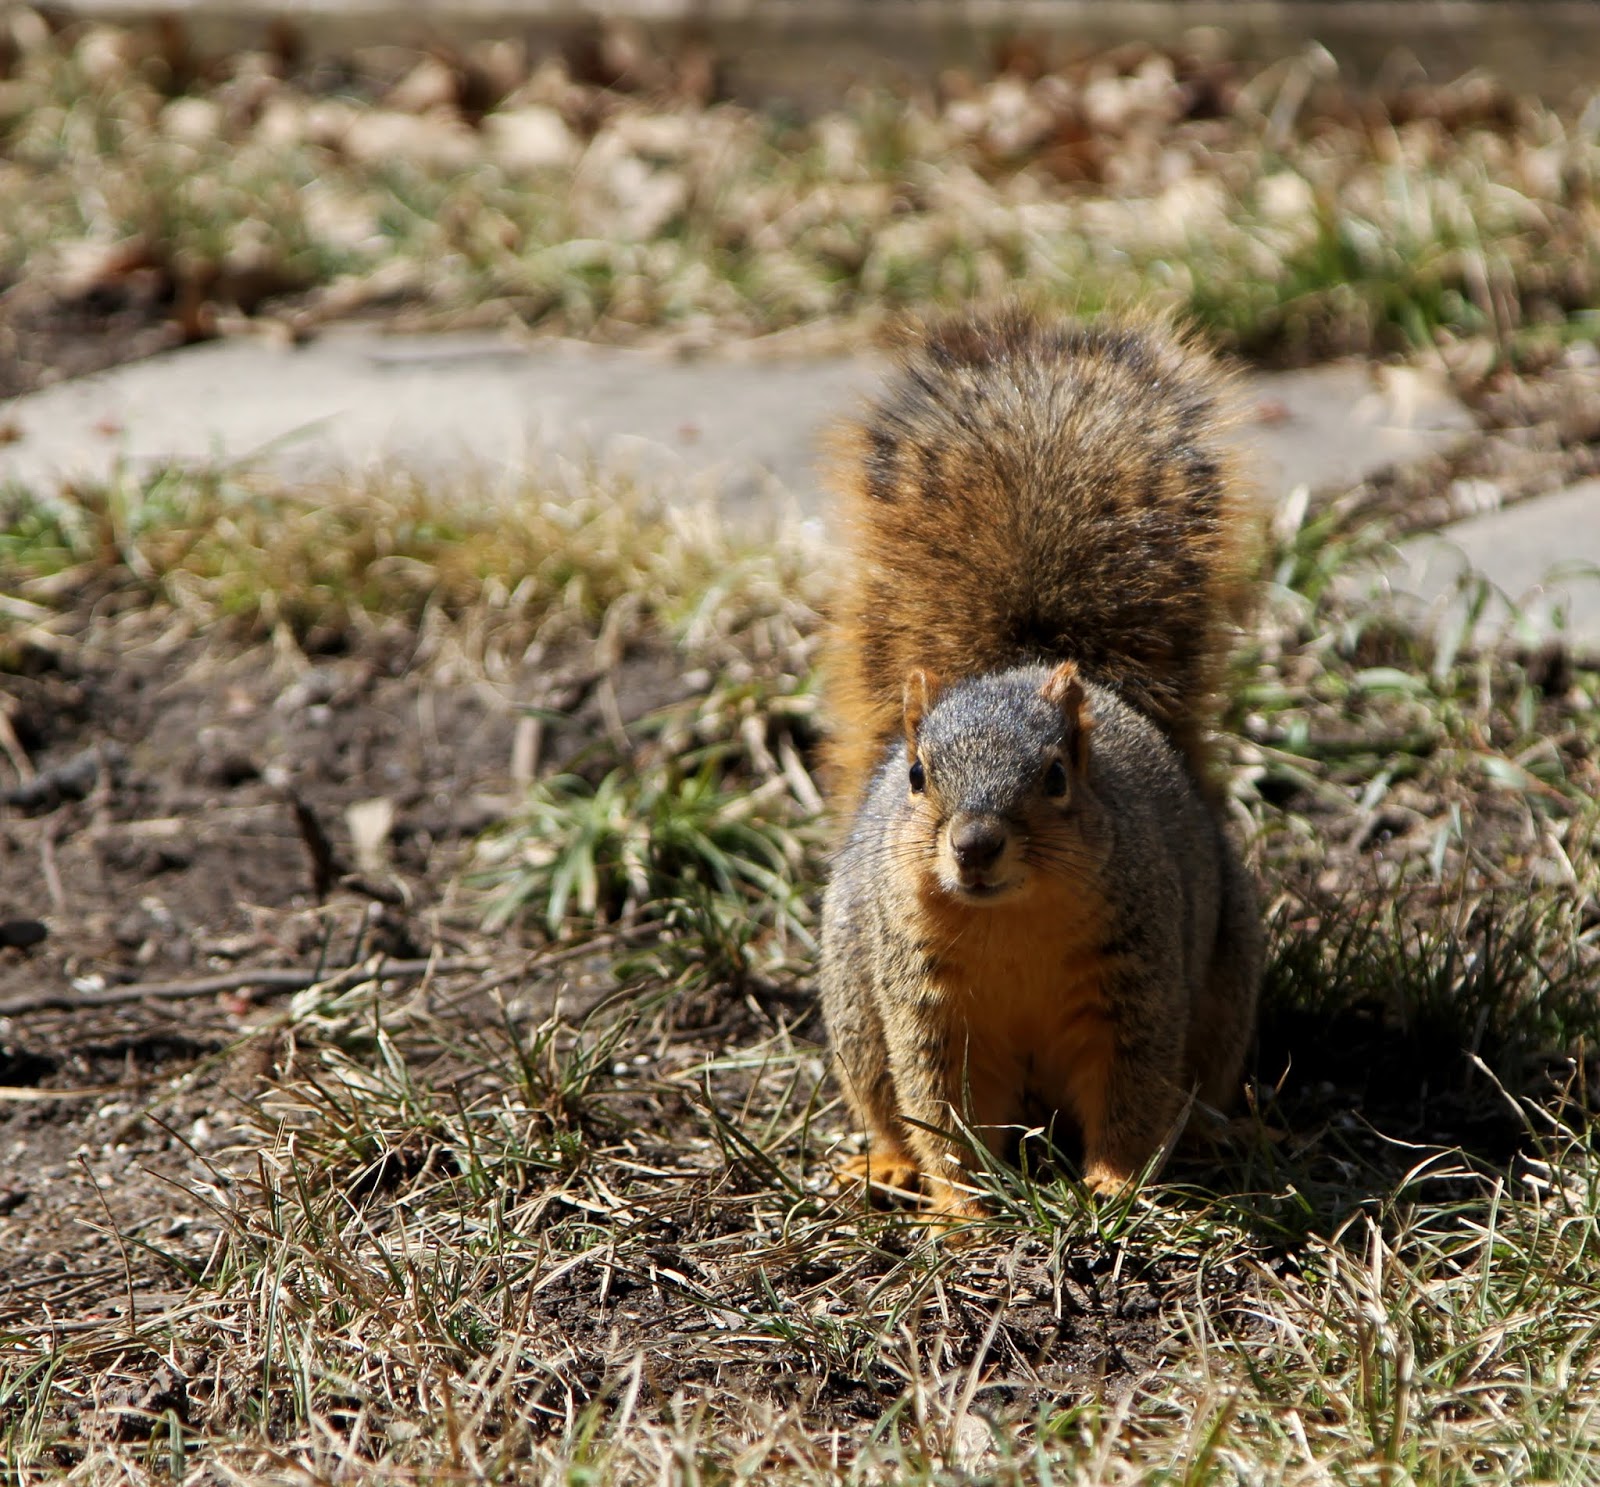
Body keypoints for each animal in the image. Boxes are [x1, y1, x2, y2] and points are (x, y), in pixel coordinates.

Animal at [817, 308, 1264, 1215]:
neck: (1011, 923)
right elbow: (940, 1107)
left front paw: (1114, 1185)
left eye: (1057, 776)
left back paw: (1212, 1135)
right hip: (851, 992)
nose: (976, 844)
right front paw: (962, 1210)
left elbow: (1130, 1091)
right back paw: (886, 1163)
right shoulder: (926, 1002)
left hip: (1228, 977)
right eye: (917, 776)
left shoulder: (1137, 983)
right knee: (882, 1098)